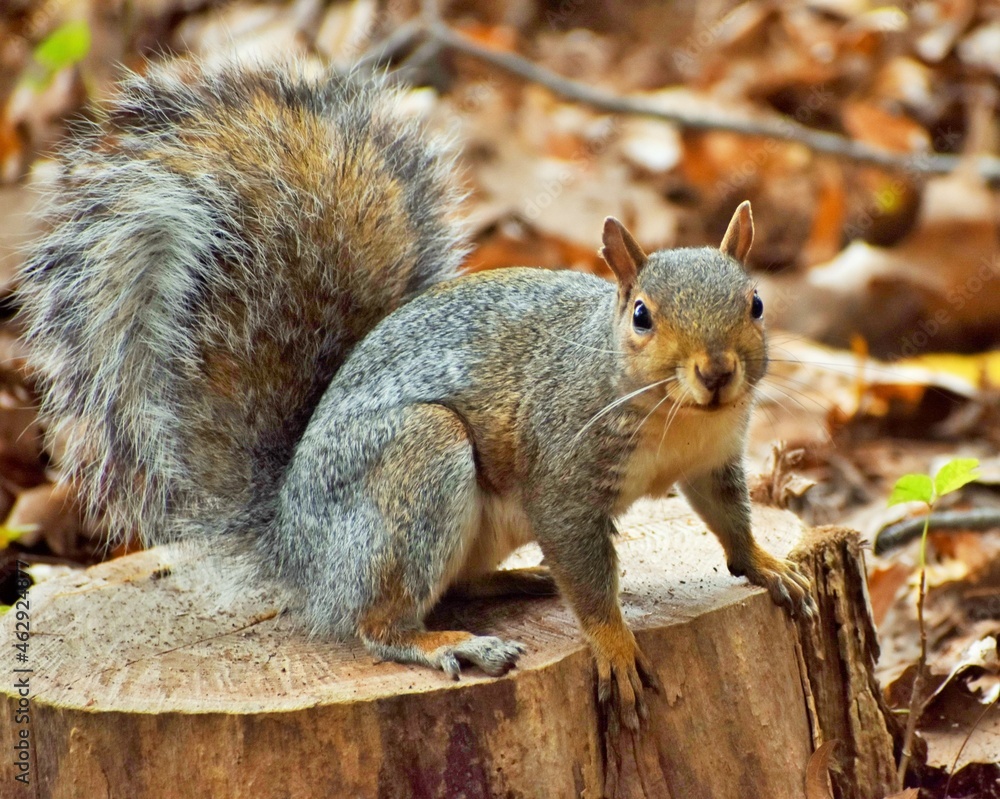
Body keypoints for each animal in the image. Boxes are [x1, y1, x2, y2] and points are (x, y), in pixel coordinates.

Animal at [19, 58, 813, 730]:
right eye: (643, 316)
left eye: (756, 303)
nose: (717, 371)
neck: (676, 416)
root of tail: (293, 544)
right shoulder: (563, 467)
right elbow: (587, 574)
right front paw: (615, 647)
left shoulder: (714, 456)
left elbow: (729, 516)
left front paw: (769, 566)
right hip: (417, 464)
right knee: (375, 624)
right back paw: (449, 643)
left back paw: (517, 582)